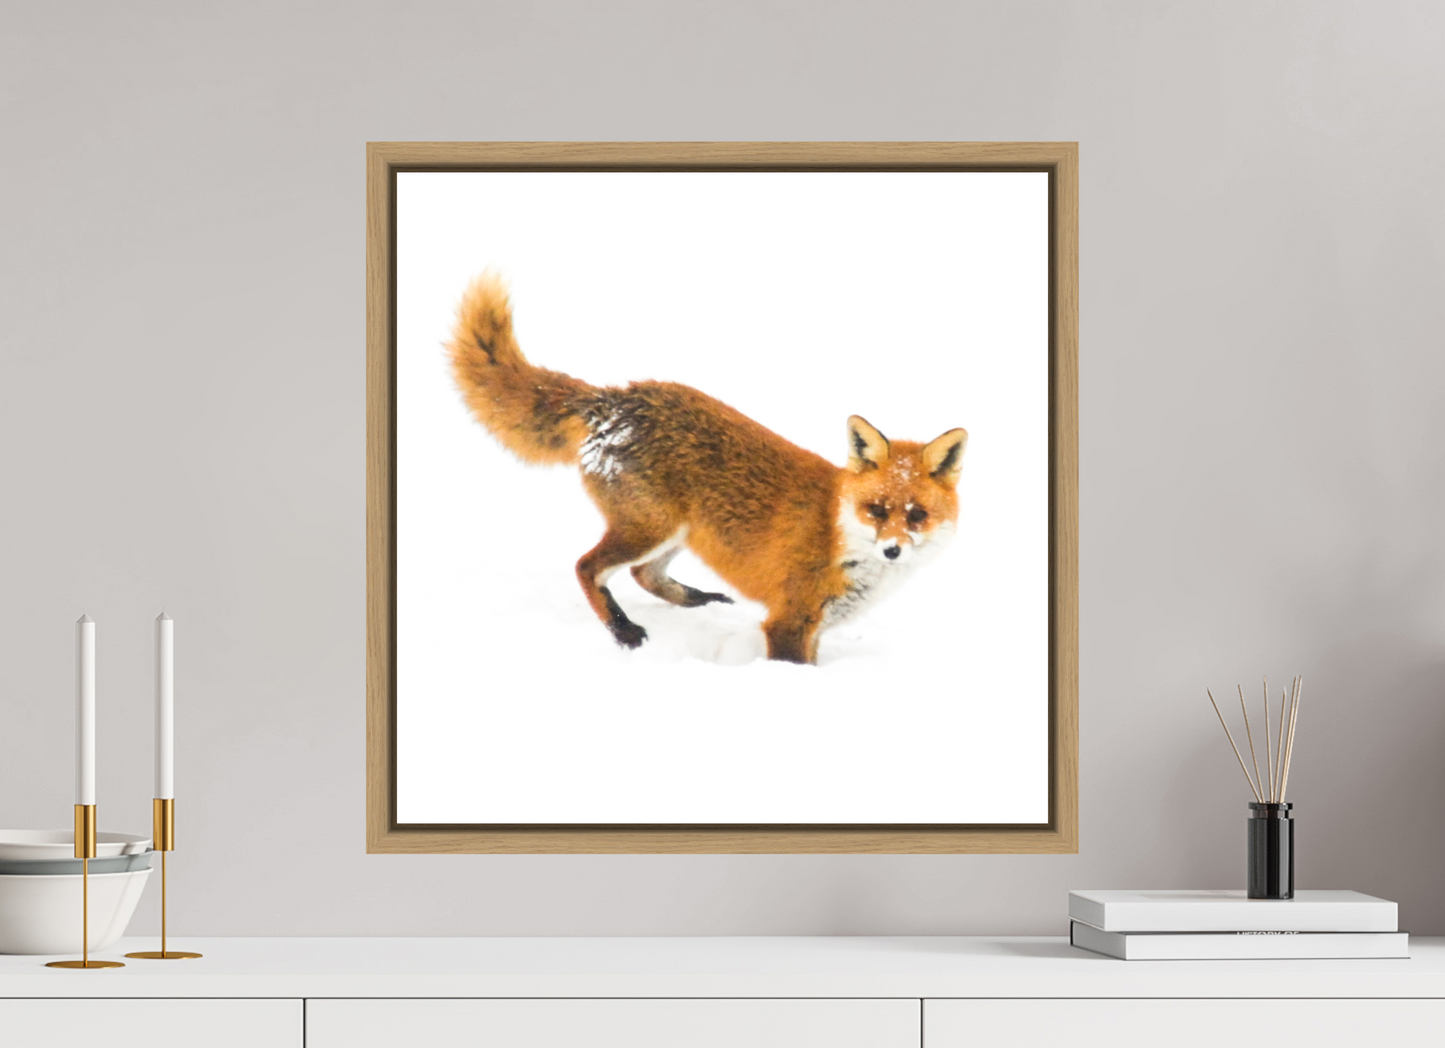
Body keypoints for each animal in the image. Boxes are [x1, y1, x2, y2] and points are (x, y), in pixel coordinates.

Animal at [446, 275, 968, 664]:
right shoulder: (788, 621)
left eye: (916, 515)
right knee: (587, 567)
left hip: (681, 531)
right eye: (876, 510)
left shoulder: (815, 625)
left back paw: (698, 600)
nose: (893, 551)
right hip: (650, 526)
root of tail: (612, 399)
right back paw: (623, 631)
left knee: (643, 575)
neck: (841, 537)